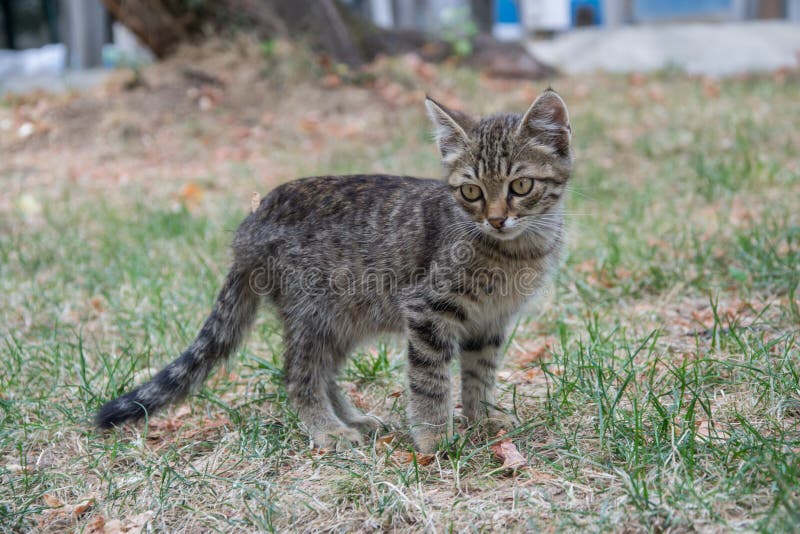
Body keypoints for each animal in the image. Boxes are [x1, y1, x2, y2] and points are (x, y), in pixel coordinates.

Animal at [97, 91, 572, 452]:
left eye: (520, 186)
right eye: (471, 191)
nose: (496, 219)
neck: (516, 251)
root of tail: (250, 223)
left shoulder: (490, 321)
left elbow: (480, 373)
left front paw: (483, 418)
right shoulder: (427, 309)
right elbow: (431, 380)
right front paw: (434, 439)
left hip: (343, 319)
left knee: (324, 373)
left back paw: (354, 420)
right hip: (313, 312)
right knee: (298, 375)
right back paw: (327, 430)